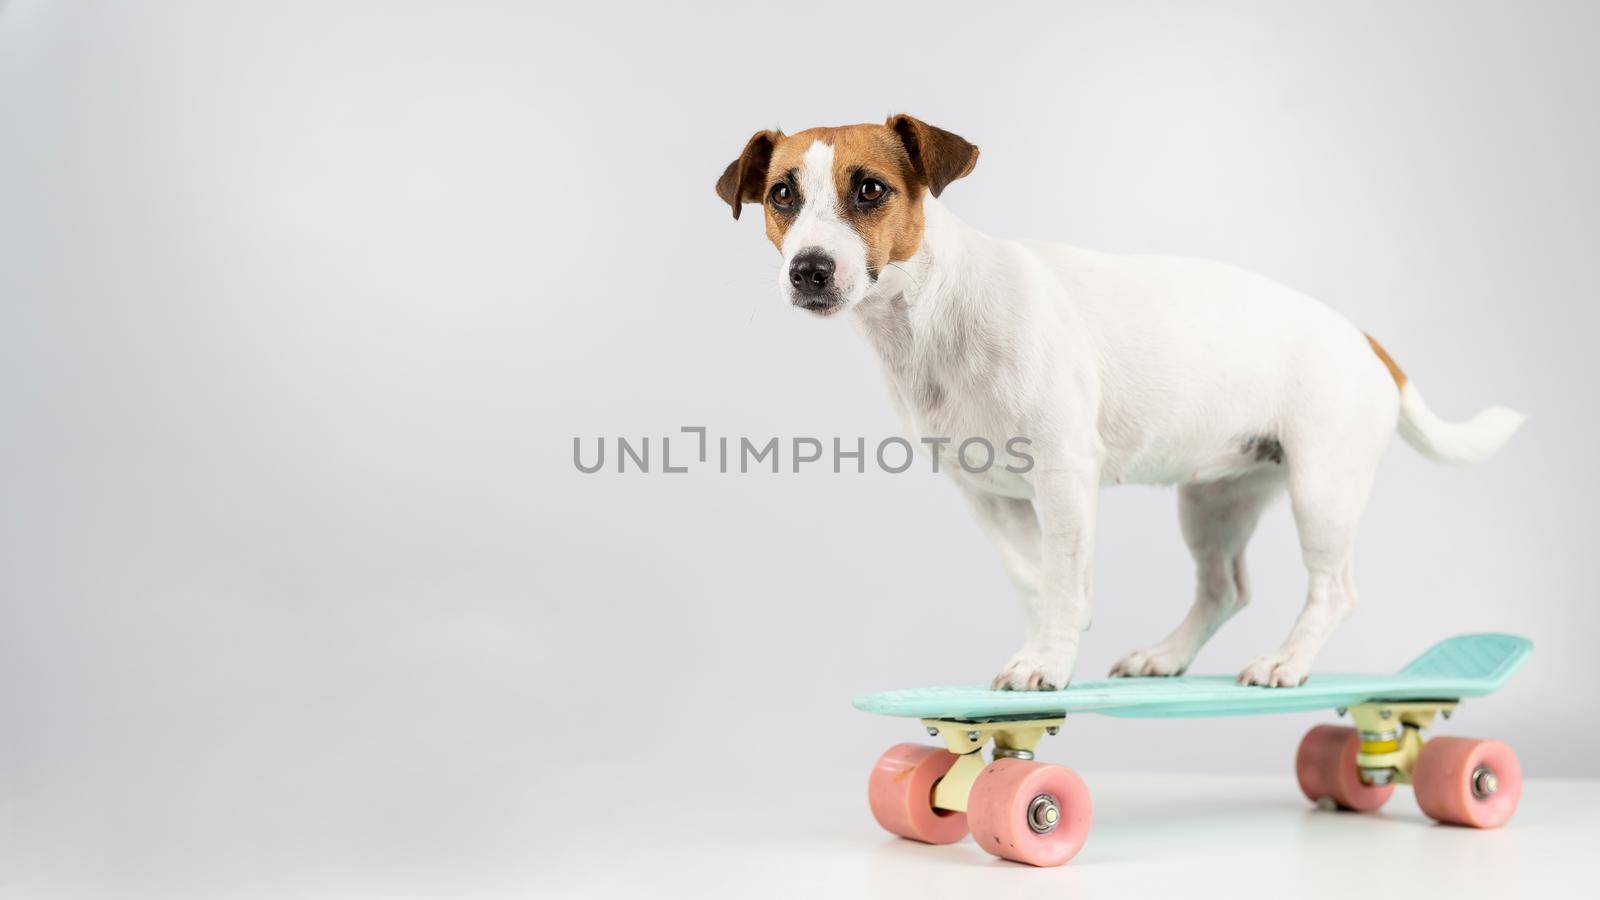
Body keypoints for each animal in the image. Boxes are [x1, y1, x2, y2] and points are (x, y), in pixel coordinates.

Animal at [716, 112, 1523, 685]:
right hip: (1215, 500)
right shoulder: (989, 498)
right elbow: (1037, 578)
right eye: (782, 195)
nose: (809, 270)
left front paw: (1048, 661)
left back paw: (1287, 663)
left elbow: (1061, 575)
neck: (934, 317)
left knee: (1333, 590)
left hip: (1322, 490)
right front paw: (1050, 638)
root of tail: (1364, 339)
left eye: (871, 189)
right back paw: (1166, 656)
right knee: (1224, 589)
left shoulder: (1064, 479)